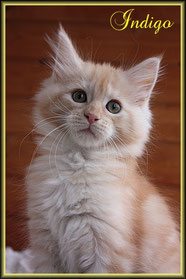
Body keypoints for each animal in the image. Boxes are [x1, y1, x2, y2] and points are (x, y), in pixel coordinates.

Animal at [26, 25, 180, 274]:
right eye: (79, 96)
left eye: (113, 107)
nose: (91, 116)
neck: (79, 167)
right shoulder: (44, 243)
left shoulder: (107, 250)